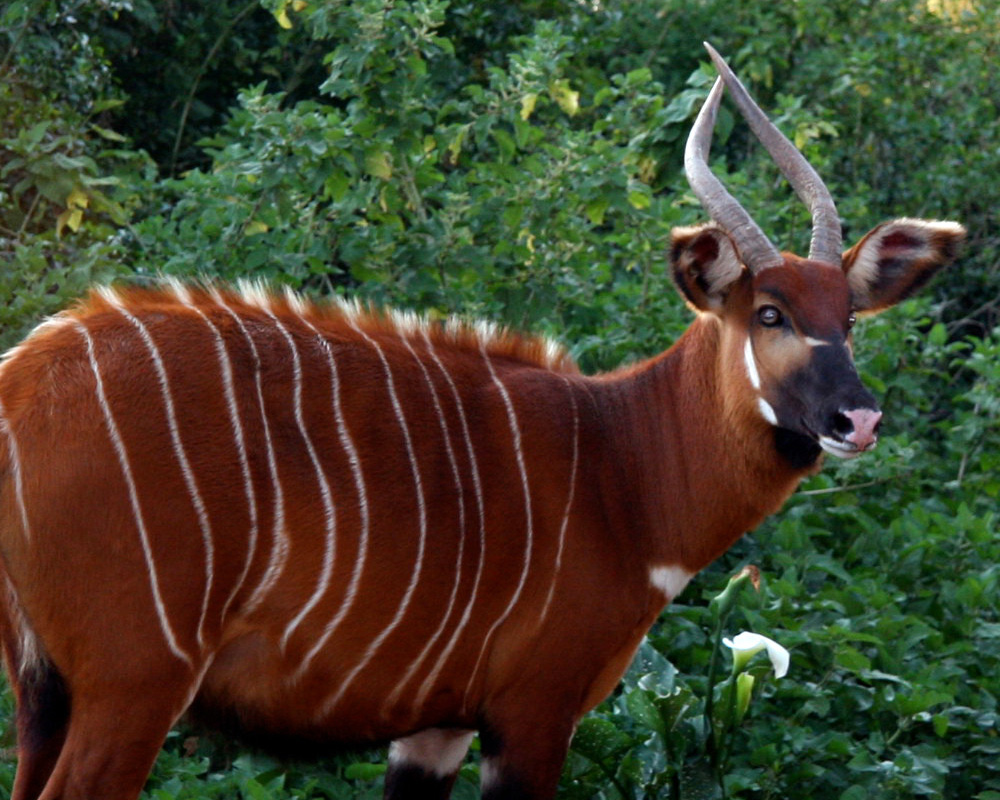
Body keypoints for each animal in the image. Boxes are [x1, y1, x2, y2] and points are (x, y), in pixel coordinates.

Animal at [0, 43, 960, 800]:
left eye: (849, 315)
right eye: (769, 313)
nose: (857, 418)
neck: (621, 466)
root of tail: (21, 380)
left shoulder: (437, 725)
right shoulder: (534, 713)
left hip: (47, 694)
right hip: (135, 683)